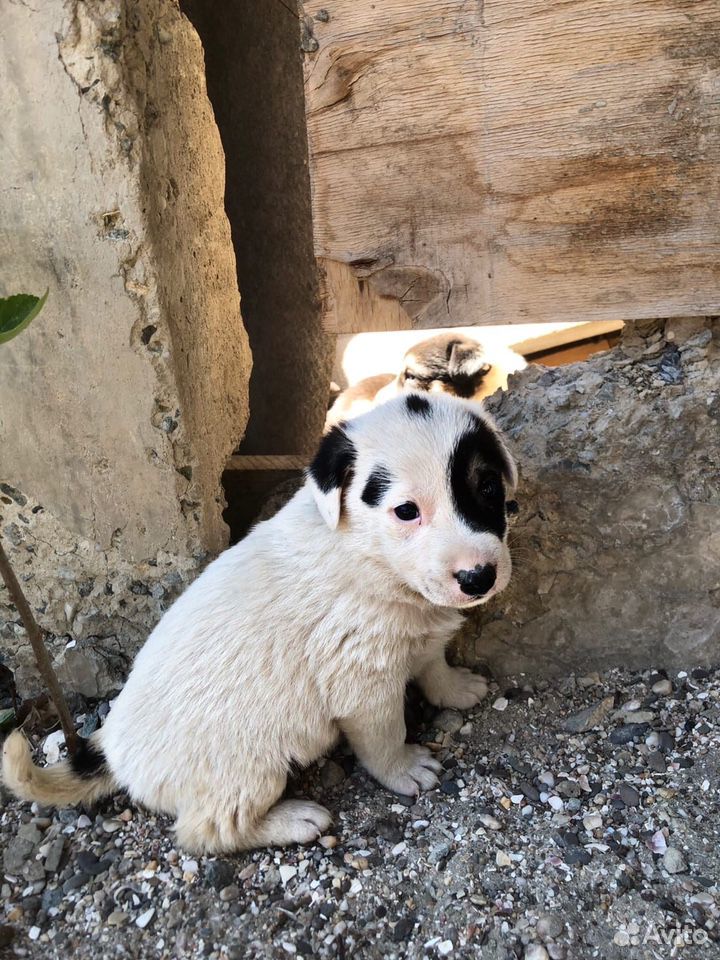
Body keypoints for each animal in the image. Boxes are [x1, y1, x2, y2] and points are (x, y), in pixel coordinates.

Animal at [2, 390, 516, 856]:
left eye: (488, 488)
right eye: (407, 511)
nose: (478, 578)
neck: (368, 555)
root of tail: (112, 746)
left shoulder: (420, 635)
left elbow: (433, 664)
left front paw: (457, 688)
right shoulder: (362, 686)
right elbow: (385, 737)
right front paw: (406, 769)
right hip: (246, 772)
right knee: (206, 833)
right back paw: (294, 820)